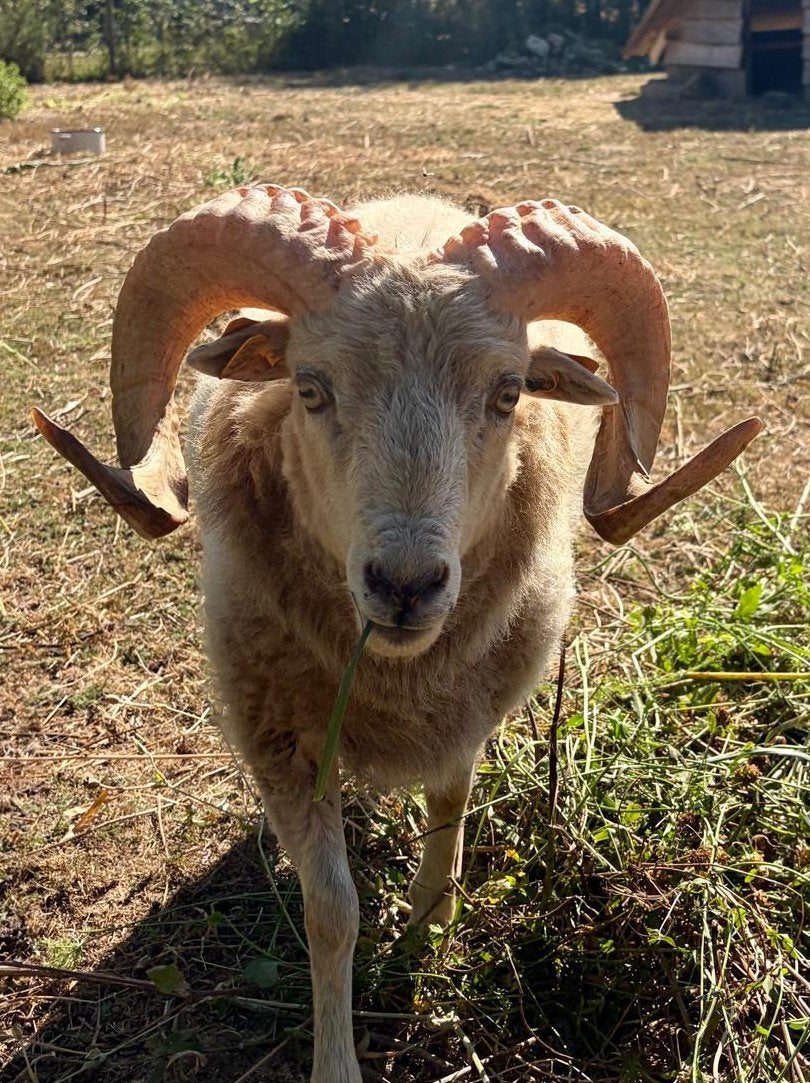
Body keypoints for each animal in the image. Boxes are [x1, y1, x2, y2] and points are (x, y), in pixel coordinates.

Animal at [33, 185, 762, 1083]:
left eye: (509, 393)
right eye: (310, 388)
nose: (406, 585)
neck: (393, 668)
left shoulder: (468, 709)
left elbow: (449, 810)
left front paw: (430, 930)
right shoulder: (281, 742)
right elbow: (332, 912)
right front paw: (337, 1057)